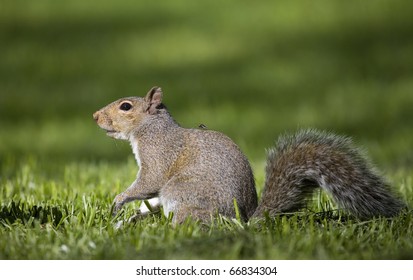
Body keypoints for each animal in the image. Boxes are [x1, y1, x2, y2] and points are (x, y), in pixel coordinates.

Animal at [92, 86, 402, 224]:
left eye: (126, 107)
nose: (95, 116)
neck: (152, 127)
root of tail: (244, 221)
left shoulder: (159, 155)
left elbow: (149, 182)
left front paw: (118, 201)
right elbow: (149, 198)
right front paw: (134, 212)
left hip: (183, 194)